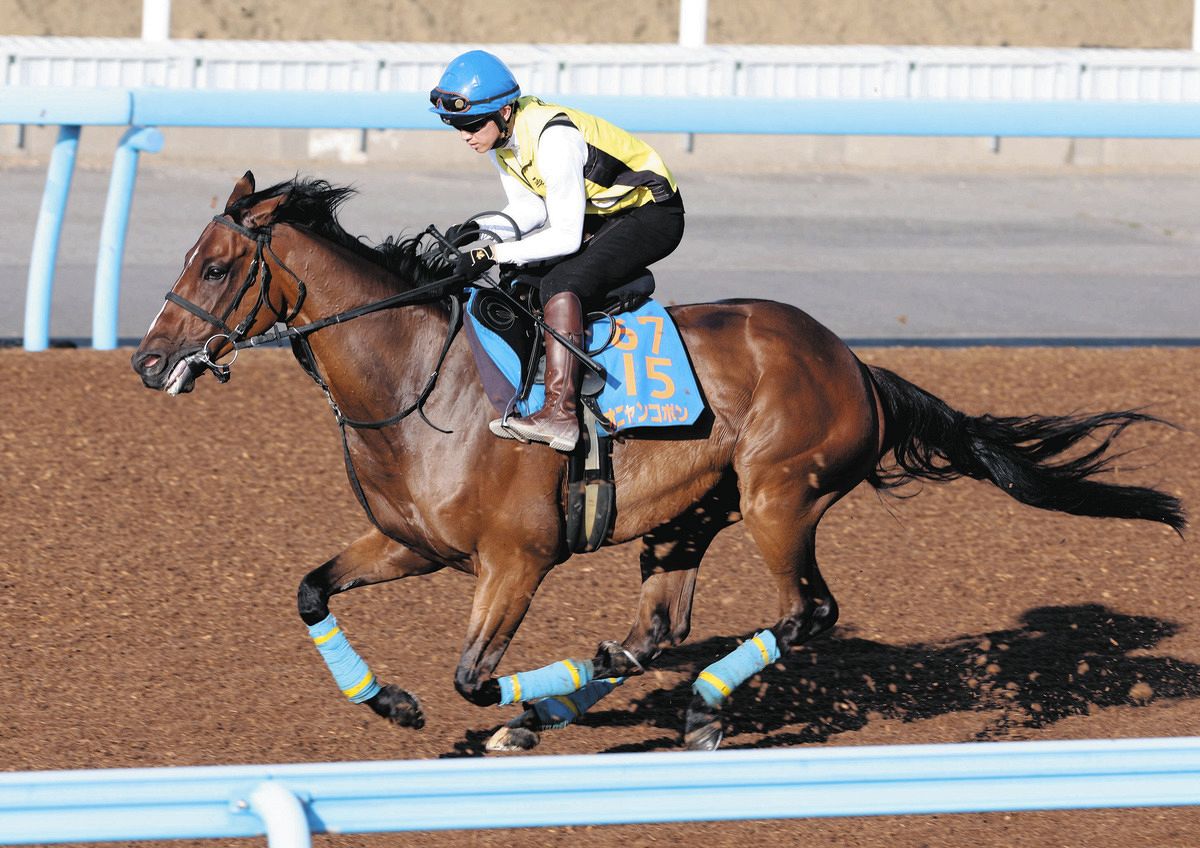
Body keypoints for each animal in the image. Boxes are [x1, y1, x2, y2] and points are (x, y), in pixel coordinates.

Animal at [131, 172, 1186, 752]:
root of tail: (855, 363)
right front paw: (391, 702)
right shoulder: (412, 545)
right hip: (689, 517)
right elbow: (311, 591)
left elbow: (474, 675)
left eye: (217, 267)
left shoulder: (516, 559)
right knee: (658, 630)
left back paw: (691, 708)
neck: (424, 384)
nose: (148, 362)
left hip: (779, 498)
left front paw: (506, 708)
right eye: (186, 258)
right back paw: (596, 689)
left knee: (806, 613)